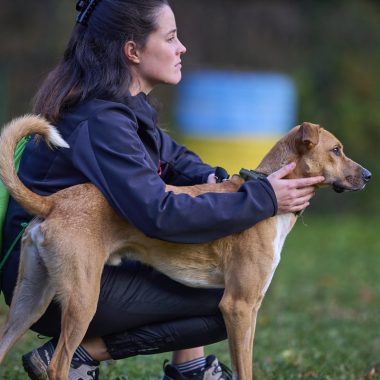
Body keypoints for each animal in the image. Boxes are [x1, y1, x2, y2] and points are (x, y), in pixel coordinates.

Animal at [0, 116, 372, 380]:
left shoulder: (249, 310)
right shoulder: (238, 307)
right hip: (82, 301)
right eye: (336, 150)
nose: (369, 175)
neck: (268, 190)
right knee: (58, 365)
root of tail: (53, 203)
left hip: (29, 302)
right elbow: (245, 370)